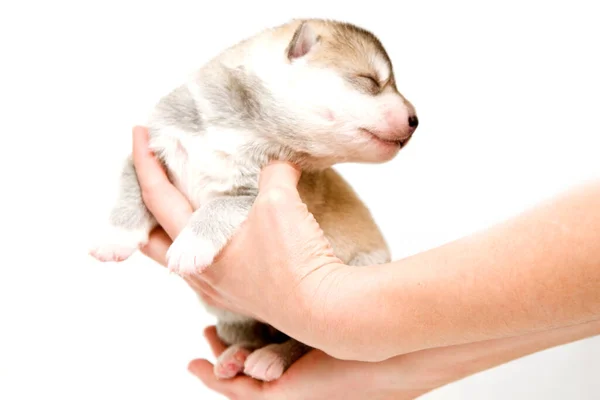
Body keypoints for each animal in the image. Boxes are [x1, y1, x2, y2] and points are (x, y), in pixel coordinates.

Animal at [89, 18, 418, 382]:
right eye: (369, 81)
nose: (415, 120)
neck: (237, 128)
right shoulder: (150, 153)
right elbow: (130, 192)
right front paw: (116, 238)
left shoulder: (250, 193)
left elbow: (215, 207)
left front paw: (190, 245)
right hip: (233, 317)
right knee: (248, 333)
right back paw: (237, 356)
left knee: (304, 343)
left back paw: (272, 357)